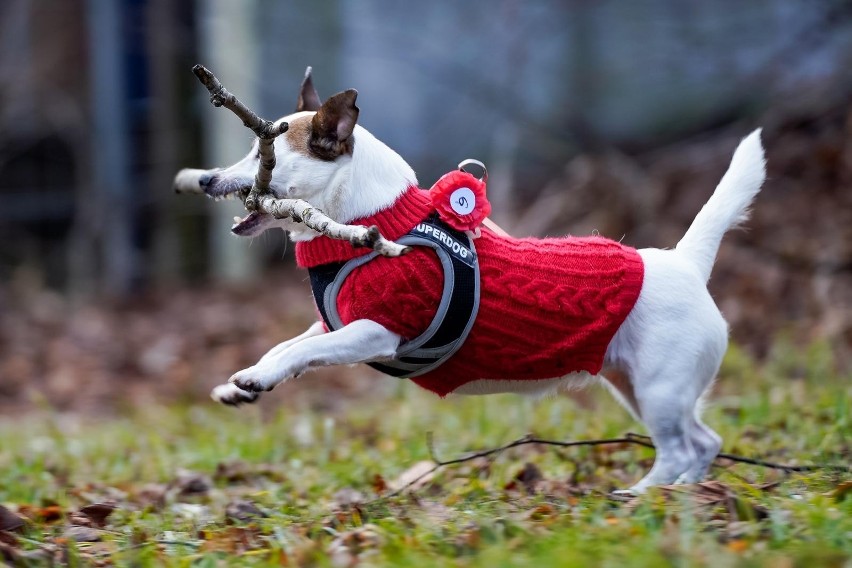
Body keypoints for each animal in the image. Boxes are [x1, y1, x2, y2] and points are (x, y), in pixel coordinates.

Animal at [201, 72, 764, 496]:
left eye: (264, 155)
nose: (206, 179)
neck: (373, 224)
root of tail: (686, 264)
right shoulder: (334, 325)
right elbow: (286, 347)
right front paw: (245, 381)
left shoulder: (377, 332)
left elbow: (303, 352)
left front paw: (256, 377)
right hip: (639, 387)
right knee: (705, 442)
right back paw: (685, 493)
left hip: (659, 389)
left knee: (677, 450)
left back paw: (641, 495)